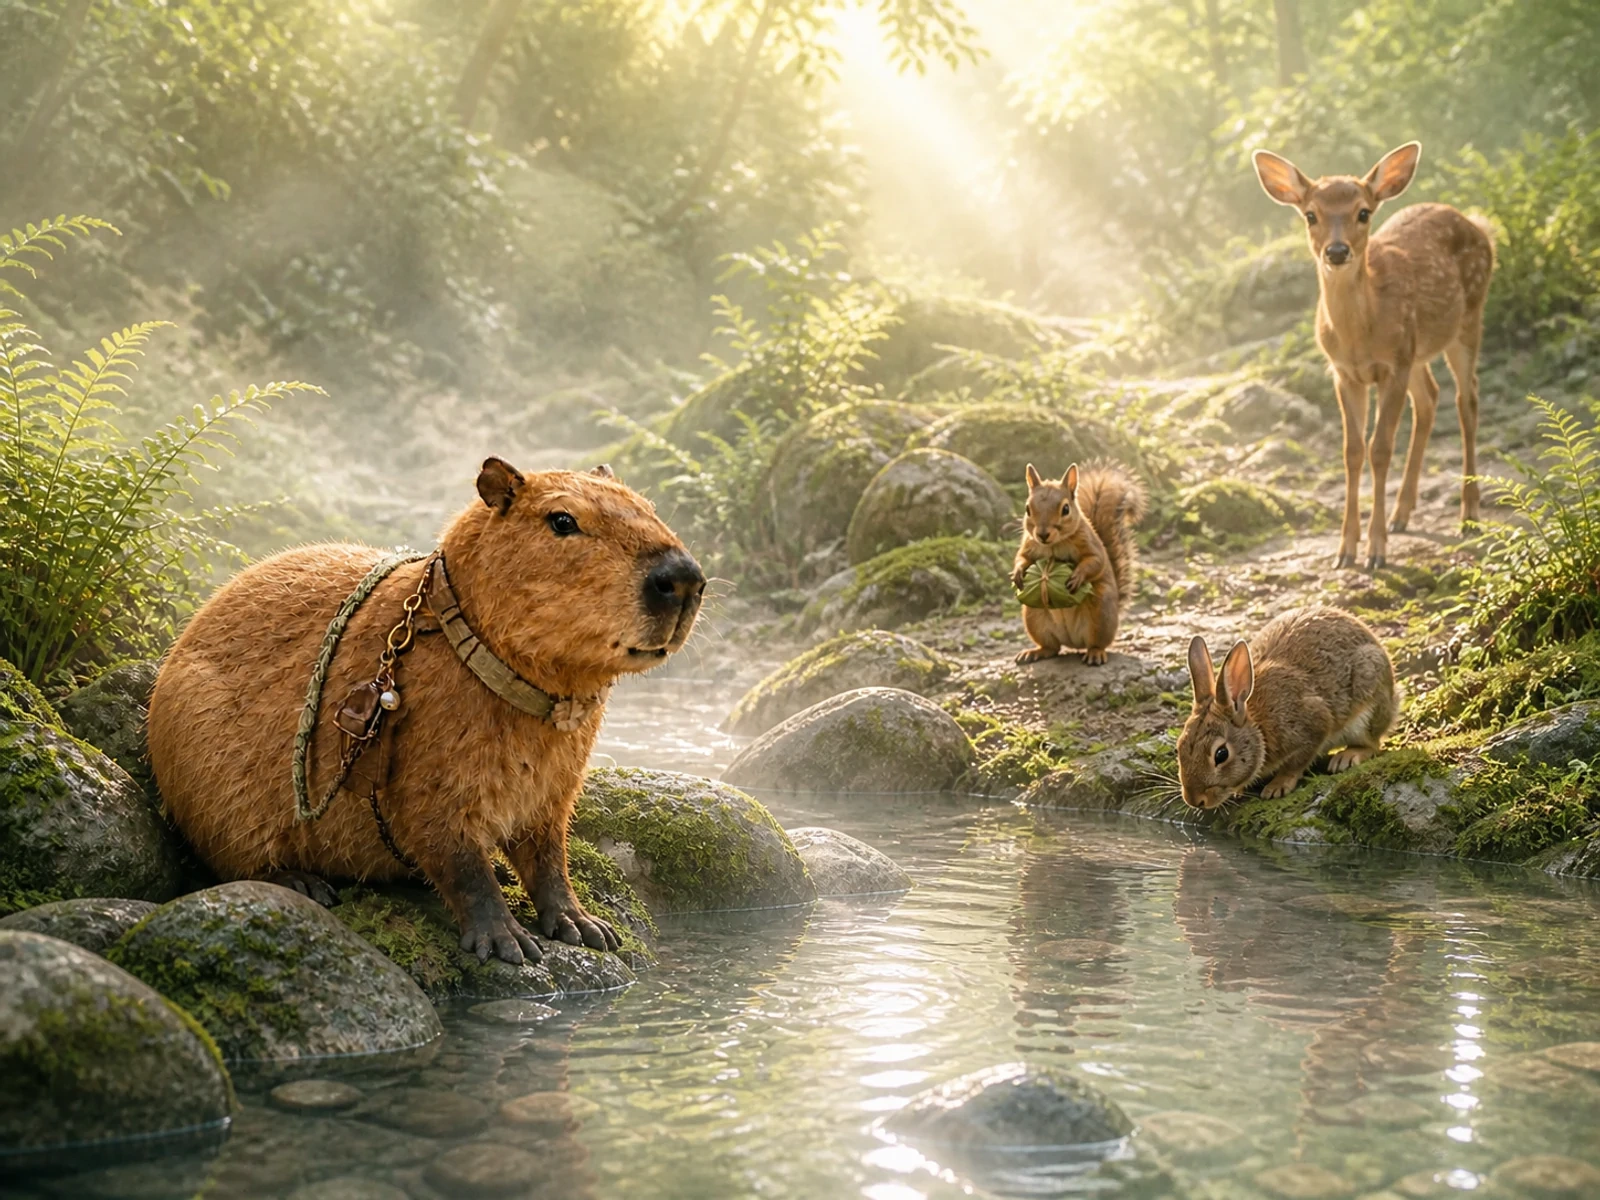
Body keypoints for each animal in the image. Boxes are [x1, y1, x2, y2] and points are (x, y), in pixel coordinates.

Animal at [1252, 141, 1495, 570]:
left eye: (1363, 212)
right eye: (1310, 214)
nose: (1336, 251)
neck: (1359, 334)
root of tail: (1476, 224)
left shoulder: (1392, 366)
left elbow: (1380, 449)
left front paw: (1376, 551)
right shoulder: (1345, 372)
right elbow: (1352, 452)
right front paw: (1345, 550)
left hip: (1467, 319)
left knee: (1467, 399)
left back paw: (1468, 514)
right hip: (1416, 349)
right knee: (1429, 397)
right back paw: (1403, 513)